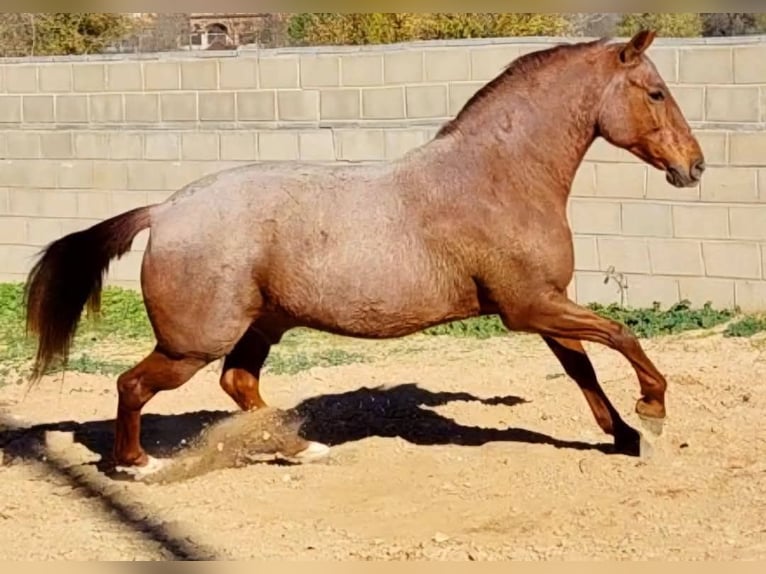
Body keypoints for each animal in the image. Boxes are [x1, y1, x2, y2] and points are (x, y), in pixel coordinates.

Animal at [24, 30, 708, 482]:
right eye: (654, 92)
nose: (695, 167)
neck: (497, 178)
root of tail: (165, 211)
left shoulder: (546, 306)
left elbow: (582, 368)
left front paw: (625, 436)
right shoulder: (531, 307)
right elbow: (621, 336)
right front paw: (652, 412)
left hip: (259, 327)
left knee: (238, 381)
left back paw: (300, 448)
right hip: (192, 343)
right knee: (134, 384)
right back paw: (138, 465)